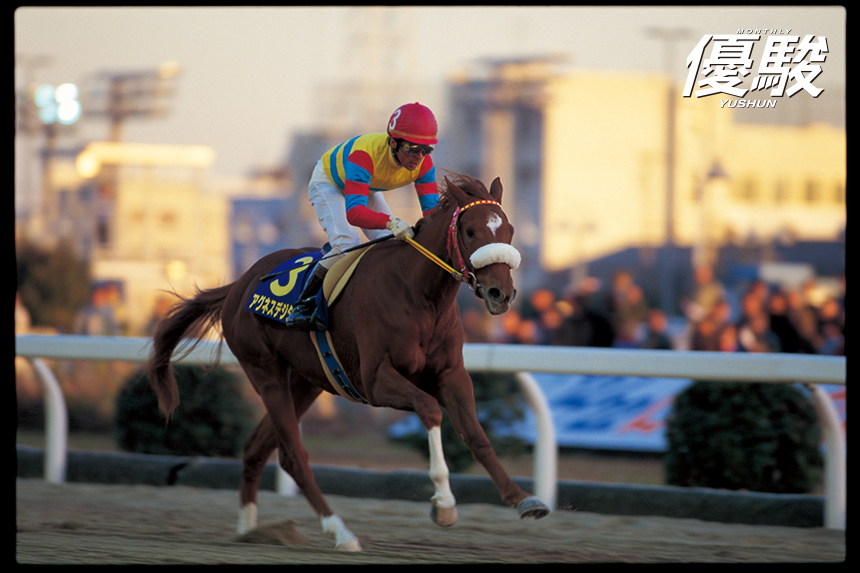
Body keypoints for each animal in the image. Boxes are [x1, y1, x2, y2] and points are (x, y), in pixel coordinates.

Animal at [146, 173, 550, 552]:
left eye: (509, 229)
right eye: (470, 230)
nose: (501, 293)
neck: (419, 294)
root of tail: (238, 285)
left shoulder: (451, 375)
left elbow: (476, 434)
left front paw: (524, 500)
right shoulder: (375, 380)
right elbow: (430, 409)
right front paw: (445, 505)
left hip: (305, 382)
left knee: (256, 447)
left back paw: (249, 531)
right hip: (265, 371)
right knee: (293, 455)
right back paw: (341, 533)